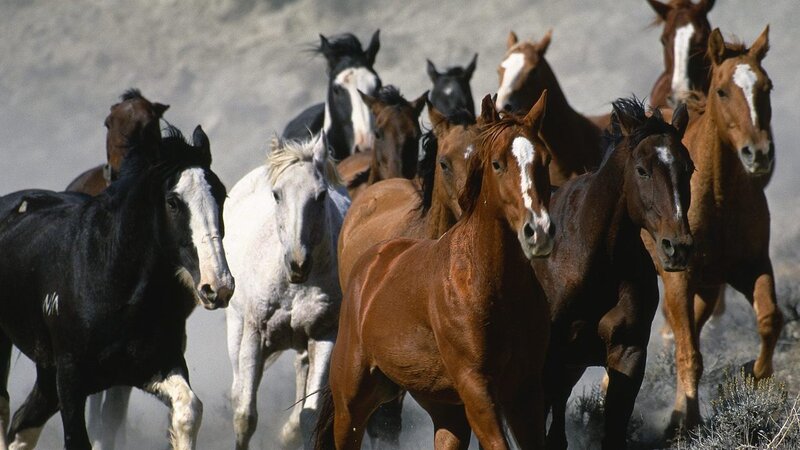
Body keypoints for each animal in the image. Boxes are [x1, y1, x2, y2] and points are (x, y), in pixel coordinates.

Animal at [0, 125, 234, 450]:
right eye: (173, 202)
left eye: (221, 195)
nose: (218, 286)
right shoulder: (70, 379)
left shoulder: (151, 365)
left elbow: (188, 410)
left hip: (47, 372)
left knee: (23, 425)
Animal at [224, 134, 350, 450]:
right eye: (277, 195)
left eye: (320, 195)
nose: (298, 263)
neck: (293, 287)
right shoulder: (255, 335)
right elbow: (245, 414)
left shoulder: (324, 337)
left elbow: (310, 415)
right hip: (236, 325)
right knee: (237, 387)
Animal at [315, 91, 554, 450]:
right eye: (497, 163)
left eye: (545, 160)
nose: (538, 230)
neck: (485, 281)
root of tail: (369, 265)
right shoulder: (476, 389)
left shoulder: (525, 388)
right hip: (351, 406)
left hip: (443, 409)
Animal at [649, 27, 782, 435]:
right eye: (722, 91)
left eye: (767, 86)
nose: (759, 153)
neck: (718, 199)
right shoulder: (679, 278)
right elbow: (688, 352)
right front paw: (684, 421)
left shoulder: (751, 266)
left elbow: (770, 319)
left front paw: (753, 372)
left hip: (707, 289)